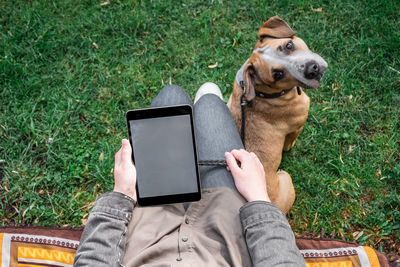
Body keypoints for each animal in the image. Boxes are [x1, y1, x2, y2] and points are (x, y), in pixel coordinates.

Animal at [228, 16, 328, 214]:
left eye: (289, 45)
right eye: (278, 74)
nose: (312, 69)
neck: (262, 93)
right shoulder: (297, 126)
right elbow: (290, 141)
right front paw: (290, 146)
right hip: (287, 181)